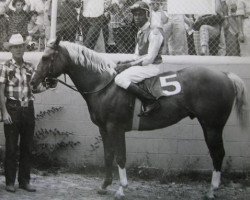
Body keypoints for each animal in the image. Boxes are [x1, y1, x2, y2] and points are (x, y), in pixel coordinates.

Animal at [29, 38, 248, 198]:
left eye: (46, 57)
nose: (33, 82)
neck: (104, 85)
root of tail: (225, 74)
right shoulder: (103, 129)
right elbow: (108, 155)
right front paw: (104, 186)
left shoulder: (115, 127)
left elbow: (120, 156)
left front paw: (121, 188)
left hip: (212, 126)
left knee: (218, 154)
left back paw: (212, 190)